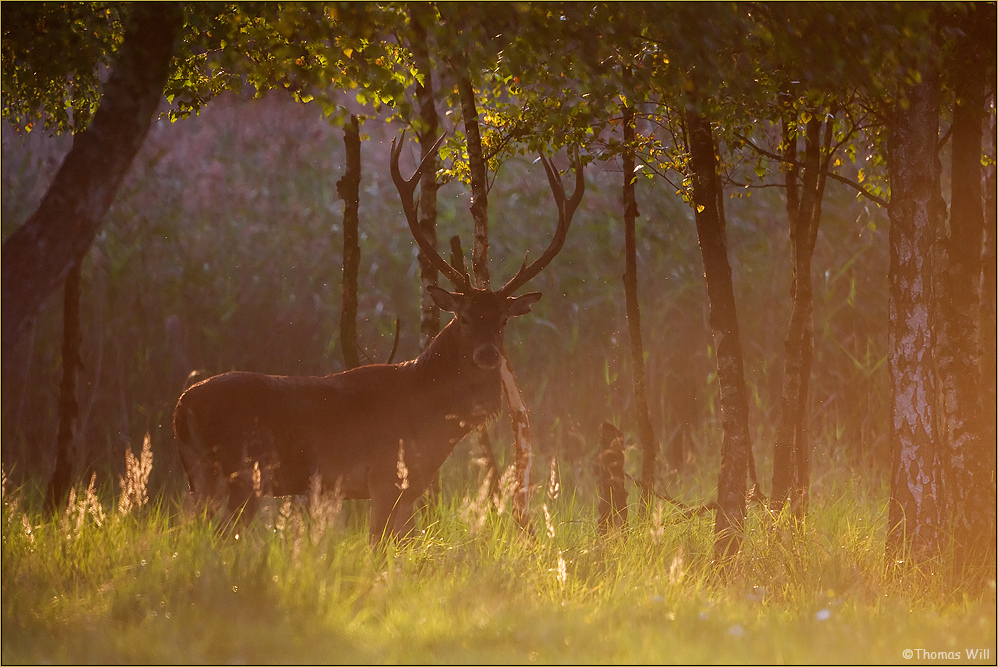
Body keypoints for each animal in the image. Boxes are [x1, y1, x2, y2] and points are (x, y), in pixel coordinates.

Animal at [168, 133, 584, 544]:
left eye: (502, 321)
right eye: (464, 317)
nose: (487, 354)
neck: (430, 419)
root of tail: (181, 406)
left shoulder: (410, 489)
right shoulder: (384, 478)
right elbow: (377, 547)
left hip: (201, 479)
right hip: (239, 475)